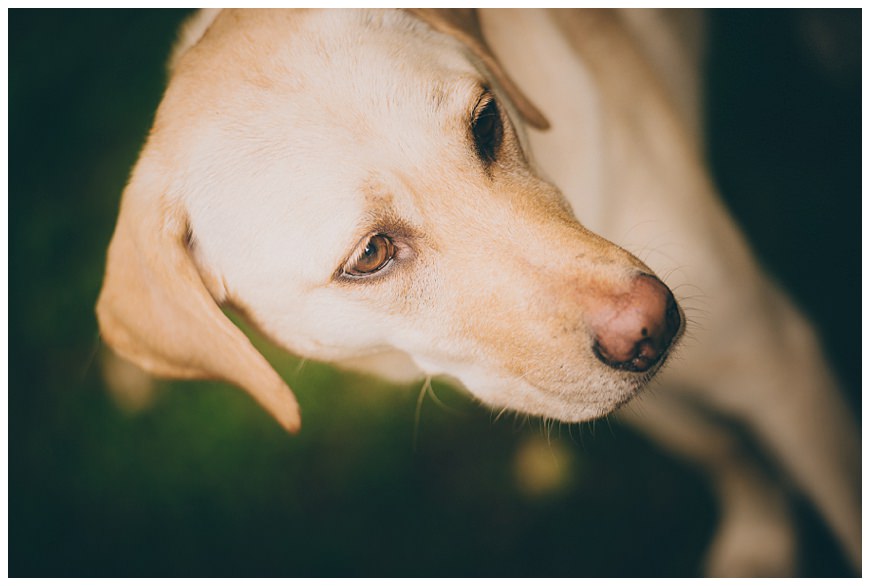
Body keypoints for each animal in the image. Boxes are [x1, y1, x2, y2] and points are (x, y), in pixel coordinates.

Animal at [95, 9, 860, 576]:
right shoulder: (655, 398)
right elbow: (718, 448)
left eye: (486, 122)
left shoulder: (774, 360)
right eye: (370, 254)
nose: (653, 324)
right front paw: (760, 532)